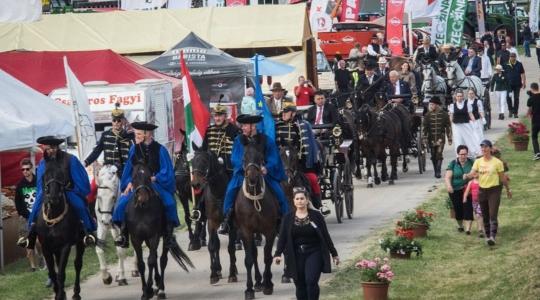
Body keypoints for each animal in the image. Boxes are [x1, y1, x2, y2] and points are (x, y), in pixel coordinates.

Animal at [126, 164, 194, 300]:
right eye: (134, 177)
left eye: (148, 177)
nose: (142, 198)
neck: (142, 211)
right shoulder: (136, 238)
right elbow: (141, 264)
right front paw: (145, 291)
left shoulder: (154, 236)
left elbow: (151, 261)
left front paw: (149, 289)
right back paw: (156, 283)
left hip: (165, 237)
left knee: (162, 260)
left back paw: (161, 289)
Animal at [191, 151, 239, 284]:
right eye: (192, 162)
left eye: (204, 162)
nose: (195, 184)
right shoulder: (212, 222)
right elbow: (212, 246)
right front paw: (213, 274)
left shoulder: (232, 224)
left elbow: (231, 248)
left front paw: (232, 274)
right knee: (216, 243)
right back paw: (218, 269)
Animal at [235, 142, 278, 298]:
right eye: (244, 157)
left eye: (260, 157)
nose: (252, 177)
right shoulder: (246, 231)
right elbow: (249, 259)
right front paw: (249, 289)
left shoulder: (270, 231)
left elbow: (268, 256)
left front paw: (268, 284)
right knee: (254, 253)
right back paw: (258, 282)